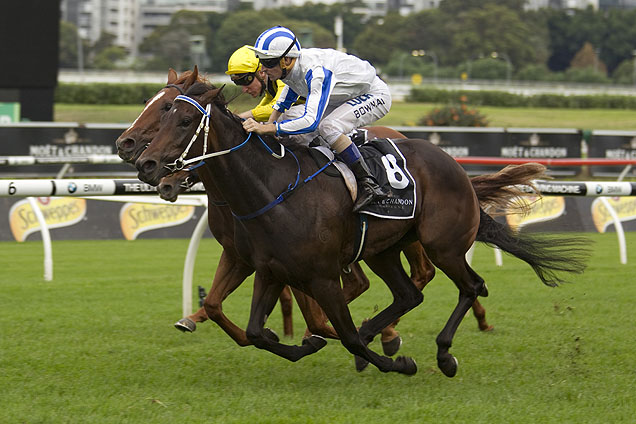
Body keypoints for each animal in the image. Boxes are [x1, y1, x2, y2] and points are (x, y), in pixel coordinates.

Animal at [135, 81, 592, 376]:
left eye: (181, 120)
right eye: (160, 112)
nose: (146, 163)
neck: (272, 191)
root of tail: (455, 166)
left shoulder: (320, 275)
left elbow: (343, 332)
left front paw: (397, 362)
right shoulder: (267, 268)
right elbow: (254, 331)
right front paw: (311, 343)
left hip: (442, 245)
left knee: (470, 286)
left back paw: (442, 355)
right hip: (383, 250)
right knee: (409, 294)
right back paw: (380, 332)